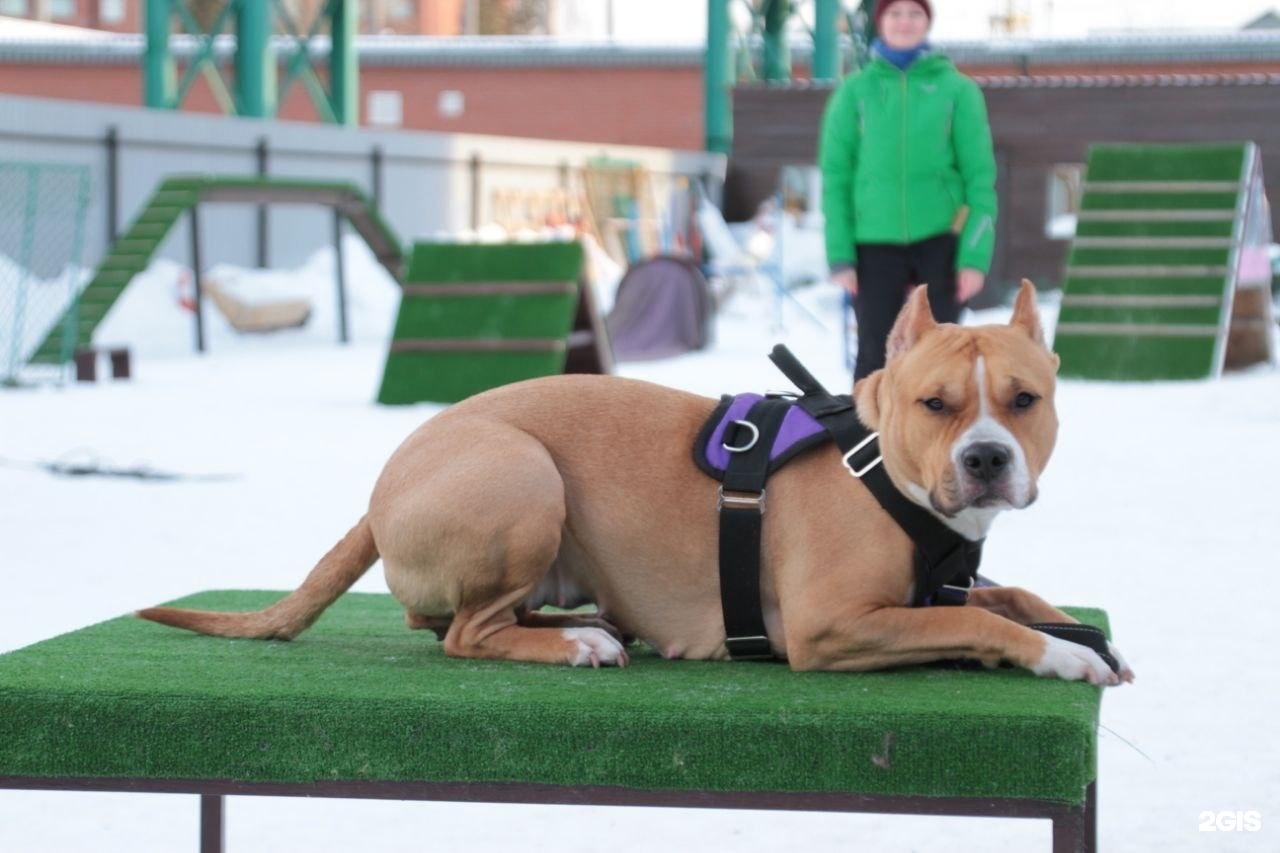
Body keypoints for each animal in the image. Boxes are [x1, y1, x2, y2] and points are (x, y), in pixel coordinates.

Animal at [140, 279, 1136, 686]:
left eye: (1025, 399)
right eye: (936, 404)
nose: (986, 459)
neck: (880, 465)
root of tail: (388, 480)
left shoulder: (947, 580)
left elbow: (1008, 594)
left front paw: (1070, 627)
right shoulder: (831, 624)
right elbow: (978, 620)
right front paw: (1064, 654)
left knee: (449, 619)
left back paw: (587, 623)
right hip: (523, 475)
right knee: (462, 633)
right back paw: (576, 643)